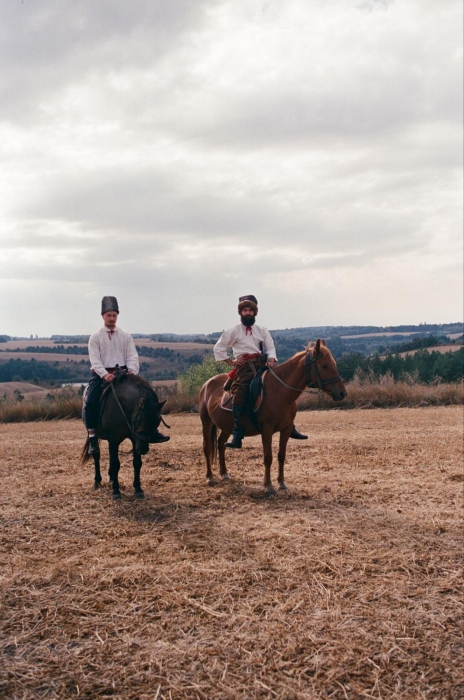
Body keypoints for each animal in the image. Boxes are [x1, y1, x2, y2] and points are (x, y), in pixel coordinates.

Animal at [198, 340, 346, 494]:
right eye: (324, 365)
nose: (342, 393)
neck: (280, 391)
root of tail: (207, 384)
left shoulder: (286, 429)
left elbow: (281, 455)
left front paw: (281, 483)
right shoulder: (267, 430)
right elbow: (268, 457)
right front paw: (268, 487)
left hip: (227, 427)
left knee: (221, 444)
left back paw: (224, 474)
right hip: (206, 422)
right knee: (207, 447)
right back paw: (210, 478)